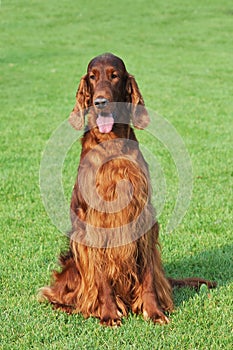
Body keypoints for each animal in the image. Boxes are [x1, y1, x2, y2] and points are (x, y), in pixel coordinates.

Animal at [40, 52, 217, 326]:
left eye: (115, 75)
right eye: (92, 77)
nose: (100, 102)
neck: (112, 144)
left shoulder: (142, 217)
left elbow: (148, 277)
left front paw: (154, 312)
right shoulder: (95, 222)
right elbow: (101, 277)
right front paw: (109, 314)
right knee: (57, 293)